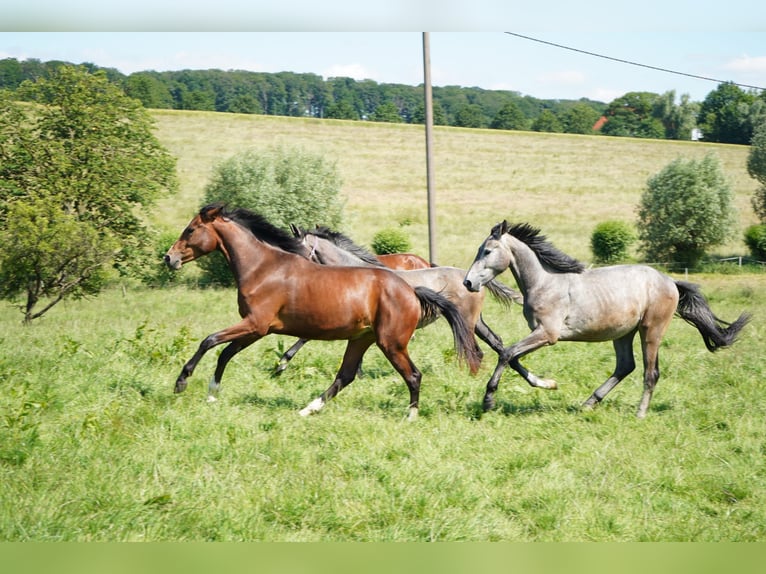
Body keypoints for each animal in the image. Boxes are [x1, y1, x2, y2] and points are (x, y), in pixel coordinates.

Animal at [166, 205, 484, 420]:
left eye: (190, 230)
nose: (169, 258)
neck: (263, 267)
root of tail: (411, 290)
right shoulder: (257, 329)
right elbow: (225, 352)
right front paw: (212, 393)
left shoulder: (255, 324)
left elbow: (210, 340)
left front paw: (182, 382)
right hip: (361, 339)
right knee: (345, 376)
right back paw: (308, 409)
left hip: (391, 343)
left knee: (413, 375)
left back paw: (410, 416)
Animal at [280, 222, 524, 378]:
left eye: (295, 247)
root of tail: (470, 278)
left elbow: (305, 336)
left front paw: (281, 363)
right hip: (476, 322)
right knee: (495, 342)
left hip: (466, 322)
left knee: (476, 351)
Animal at [464, 220, 752, 418]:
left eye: (487, 251)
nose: (468, 282)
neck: (545, 282)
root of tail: (670, 281)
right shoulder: (540, 334)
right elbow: (512, 357)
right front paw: (548, 384)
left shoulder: (547, 334)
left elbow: (507, 353)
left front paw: (488, 401)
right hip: (623, 333)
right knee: (625, 366)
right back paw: (588, 403)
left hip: (651, 330)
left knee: (650, 372)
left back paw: (639, 413)